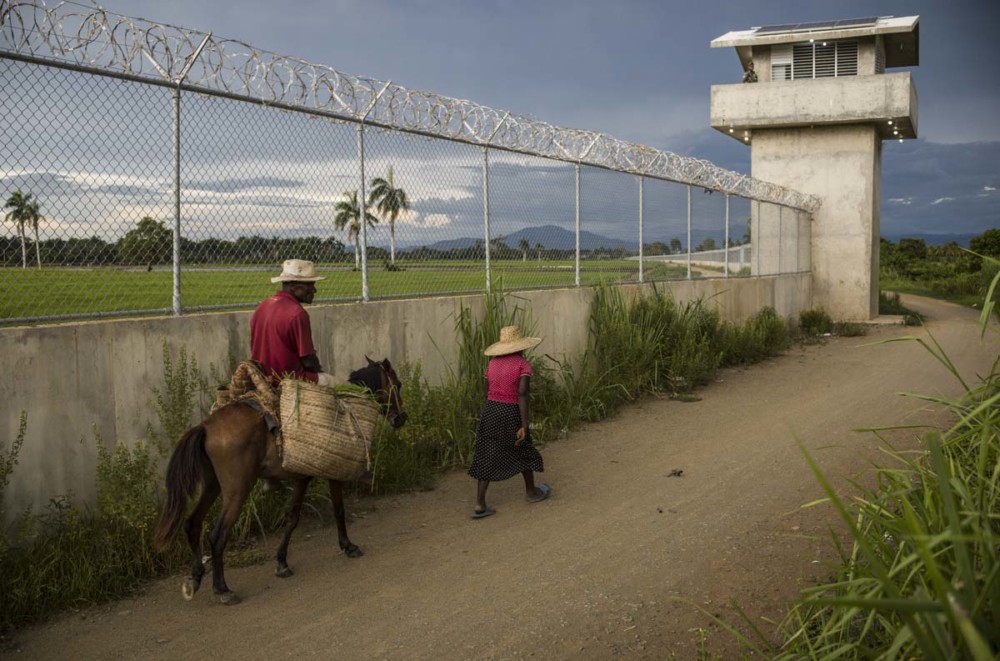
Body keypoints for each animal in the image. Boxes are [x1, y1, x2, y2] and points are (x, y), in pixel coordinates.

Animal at [154, 356, 404, 604]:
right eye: (398, 384)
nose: (402, 418)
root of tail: (205, 427)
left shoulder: (302, 477)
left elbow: (292, 518)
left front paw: (282, 562)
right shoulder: (332, 472)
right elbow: (336, 511)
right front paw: (348, 546)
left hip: (212, 485)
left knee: (192, 523)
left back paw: (196, 577)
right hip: (237, 489)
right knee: (217, 536)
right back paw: (222, 589)